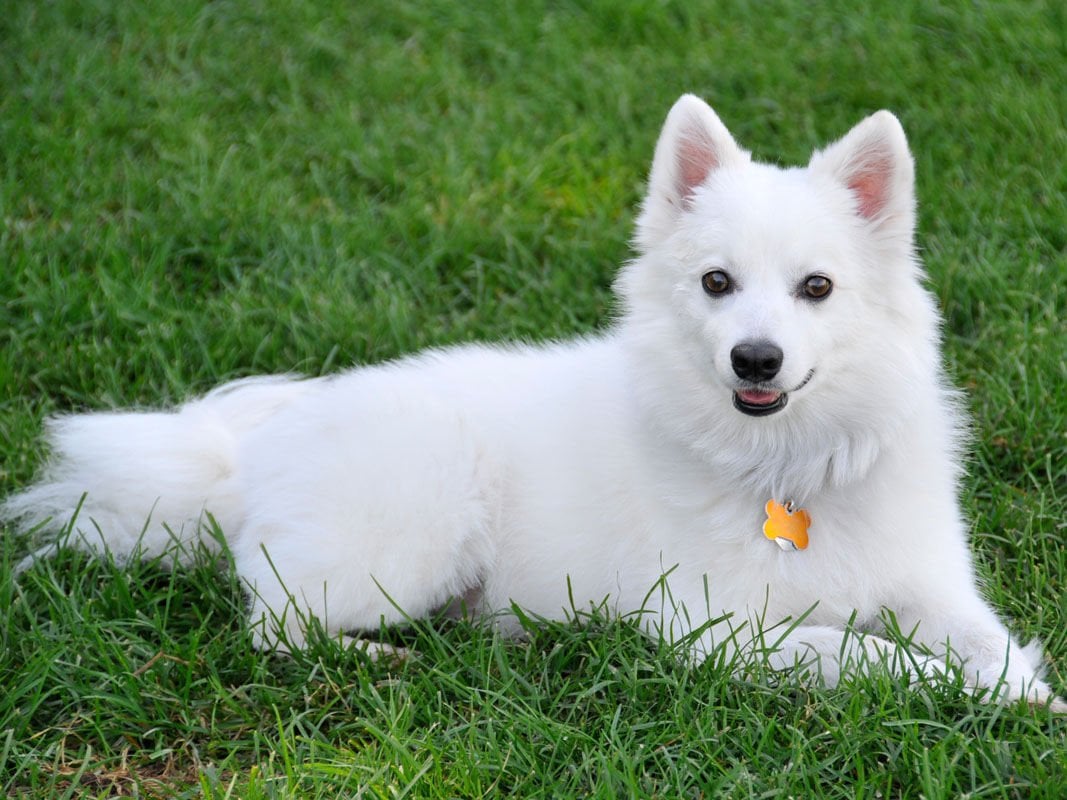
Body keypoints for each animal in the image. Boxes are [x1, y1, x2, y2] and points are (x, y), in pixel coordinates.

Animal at [4, 97, 1062, 712]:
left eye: (816, 288)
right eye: (717, 283)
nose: (754, 358)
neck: (786, 466)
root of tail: (248, 461)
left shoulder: (934, 587)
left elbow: (987, 639)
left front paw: (1018, 691)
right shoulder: (715, 630)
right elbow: (871, 655)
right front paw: (965, 690)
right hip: (414, 538)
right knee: (274, 625)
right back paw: (376, 660)